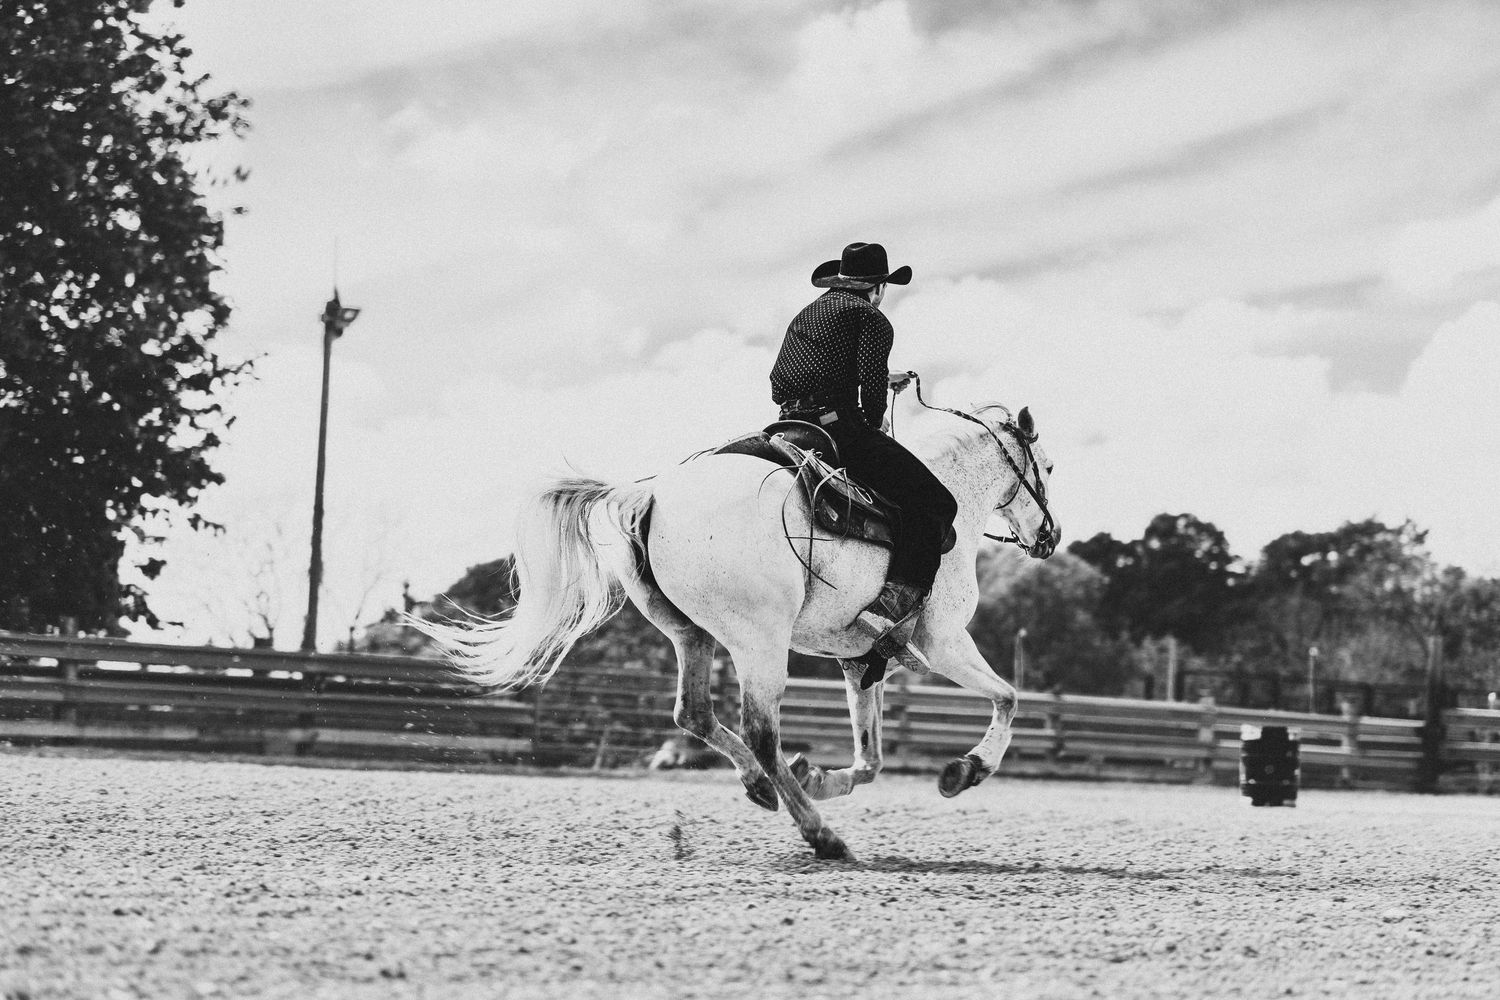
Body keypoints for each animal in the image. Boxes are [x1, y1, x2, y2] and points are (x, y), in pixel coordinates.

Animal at [416, 386, 1058, 860]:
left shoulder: (861, 661)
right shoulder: (943, 640)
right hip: (760, 643)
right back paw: (821, 834)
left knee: (696, 715)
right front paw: (966, 769)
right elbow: (1008, 697)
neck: (954, 504)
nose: (1049, 537)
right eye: (1047, 467)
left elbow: (872, 757)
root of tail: (651, 495)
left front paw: (822, 776)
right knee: (760, 731)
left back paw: (766, 787)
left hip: (691, 635)